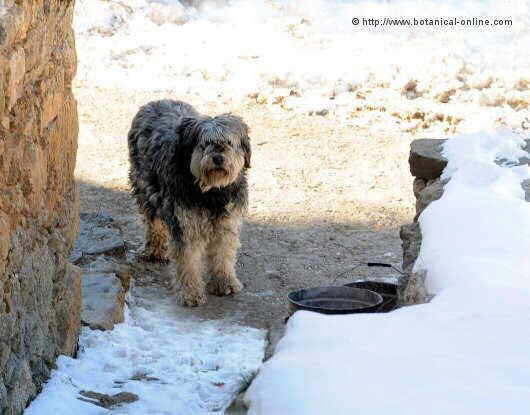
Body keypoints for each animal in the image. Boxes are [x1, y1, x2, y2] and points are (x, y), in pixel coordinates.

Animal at [128, 100, 252, 308]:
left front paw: (224, 283)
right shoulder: (186, 225)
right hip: (146, 189)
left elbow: (223, 255)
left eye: (228, 142)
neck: (211, 192)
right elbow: (188, 263)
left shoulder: (226, 224)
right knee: (153, 223)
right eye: (205, 143)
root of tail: (155, 102)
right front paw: (191, 293)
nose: (218, 158)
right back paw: (154, 250)